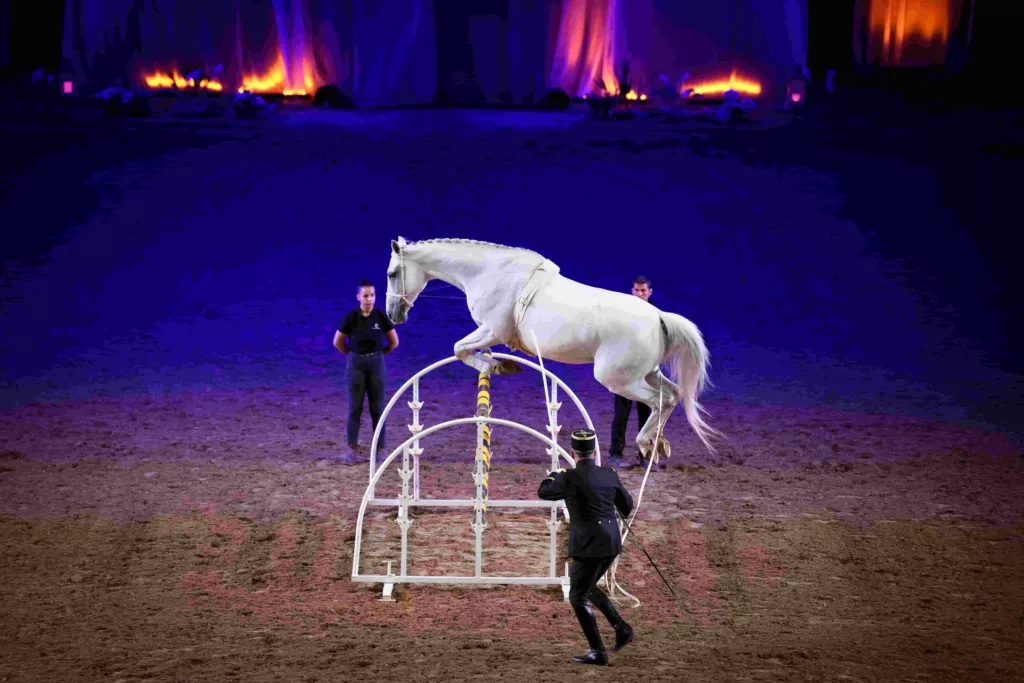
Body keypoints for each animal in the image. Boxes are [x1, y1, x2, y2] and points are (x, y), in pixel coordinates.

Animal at [385, 237, 720, 456]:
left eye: (392, 274)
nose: (393, 315)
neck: (490, 273)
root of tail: (658, 316)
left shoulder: (493, 330)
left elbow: (460, 348)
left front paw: (494, 365)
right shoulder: (490, 333)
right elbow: (463, 350)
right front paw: (499, 364)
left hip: (618, 379)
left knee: (657, 401)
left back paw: (645, 443)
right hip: (646, 373)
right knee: (673, 395)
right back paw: (658, 443)